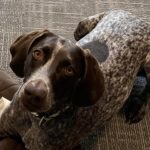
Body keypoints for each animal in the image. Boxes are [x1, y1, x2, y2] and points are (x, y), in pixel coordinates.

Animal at [0, 9, 150, 149]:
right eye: (37, 53)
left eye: (69, 70)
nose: (34, 93)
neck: (34, 119)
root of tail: (135, 18)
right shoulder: (4, 126)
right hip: (81, 28)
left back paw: (137, 108)